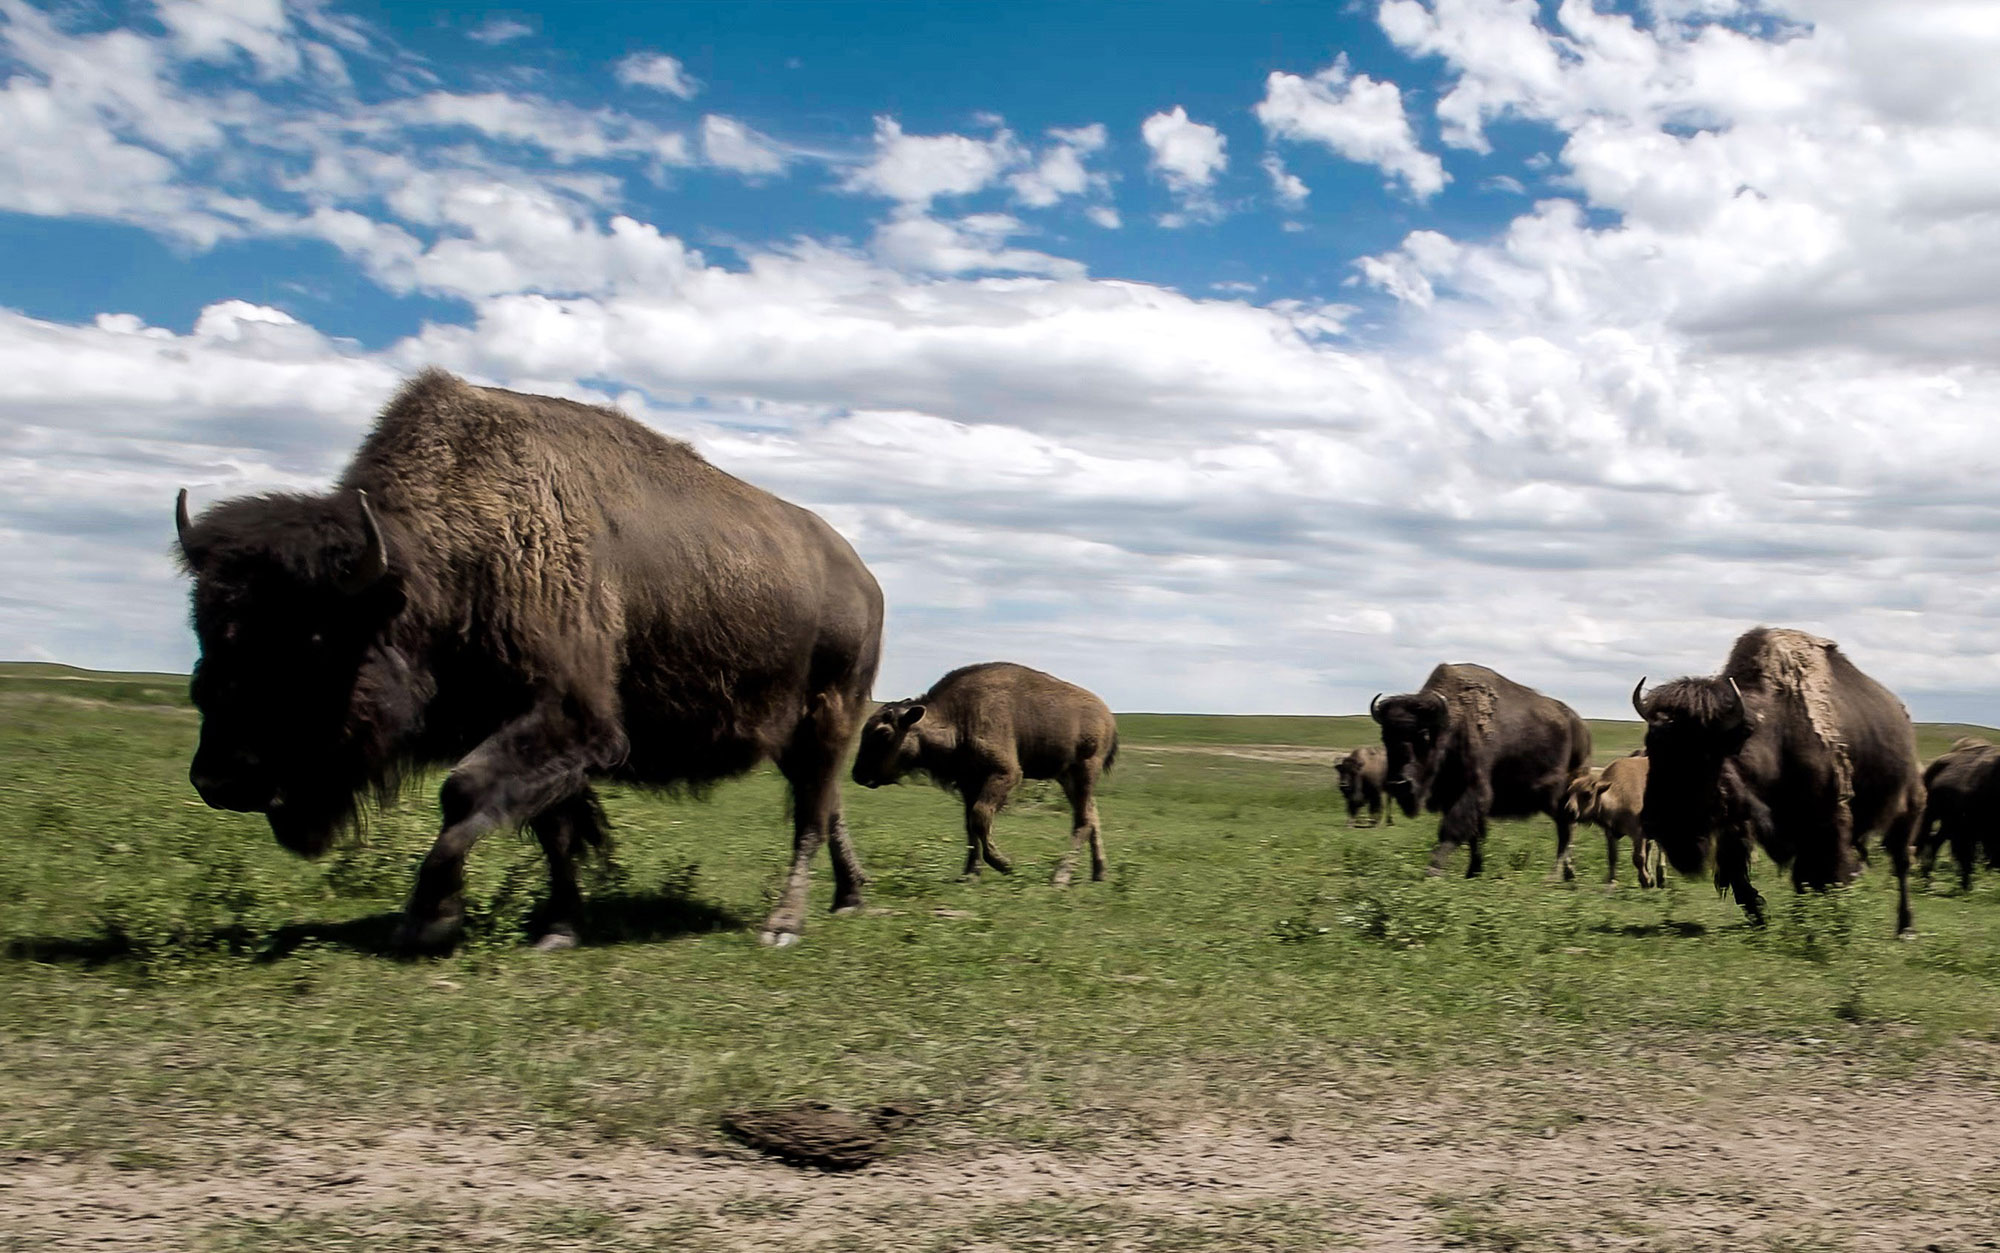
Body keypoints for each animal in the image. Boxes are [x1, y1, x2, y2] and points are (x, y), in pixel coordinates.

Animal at [177, 369, 884, 951]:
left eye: (313, 642)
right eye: (205, 630)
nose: (218, 780)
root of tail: (864, 577)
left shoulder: (571, 719)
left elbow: (464, 793)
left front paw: (427, 921)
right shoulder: (535, 736)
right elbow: (555, 832)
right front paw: (558, 928)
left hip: (828, 717)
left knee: (810, 815)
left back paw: (783, 925)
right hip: (798, 737)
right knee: (826, 805)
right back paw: (849, 899)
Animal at [851, 663, 1117, 887]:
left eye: (883, 733)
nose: (857, 774)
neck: (958, 718)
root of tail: (1108, 717)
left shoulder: (1005, 773)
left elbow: (980, 818)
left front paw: (1005, 864)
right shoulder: (969, 784)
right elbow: (970, 827)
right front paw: (970, 874)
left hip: (1084, 770)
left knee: (1083, 820)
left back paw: (1060, 877)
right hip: (1068, 777)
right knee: (1092, 817)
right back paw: (1099, 874)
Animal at [1371, 664, 1593, 878]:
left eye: (1424, 735)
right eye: (1385, 737)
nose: (1399, 784)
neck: (1452, 723)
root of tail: (1579, 725)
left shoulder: (1473, 790)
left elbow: (1453, 828)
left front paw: (1434, 870)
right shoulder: (1451, 795)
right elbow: (1475, 836)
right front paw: (1473, 872)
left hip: (1555, 796)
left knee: (1565, 826)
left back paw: (1555, 875)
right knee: (1567, 827)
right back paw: (1568, 874)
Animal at [1633, 627, 1925, 934]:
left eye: (1702, 753)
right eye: (1651, 747)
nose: (1655, 824)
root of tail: (1901, 715)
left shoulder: (1827, 822)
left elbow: (1825, 875)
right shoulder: (1739, 824)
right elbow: (1741, 877)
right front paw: (1764, 919)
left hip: (1907, 809)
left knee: (1901, 863)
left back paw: (1906, 928)